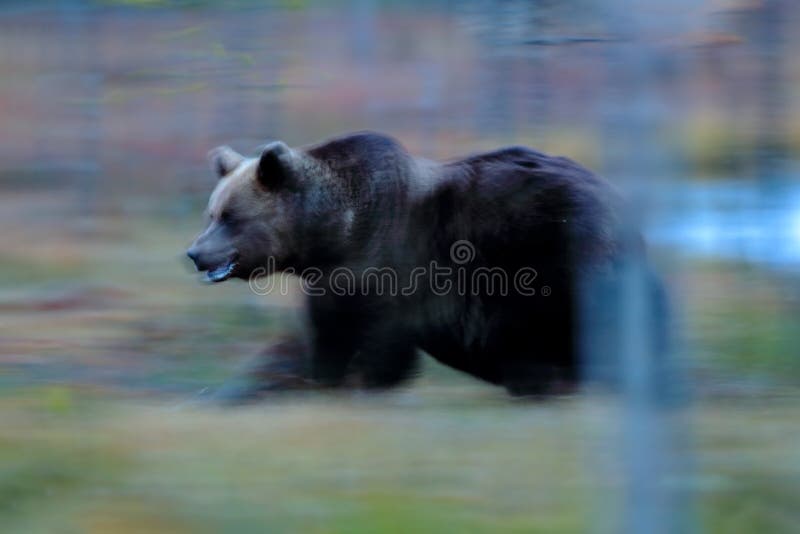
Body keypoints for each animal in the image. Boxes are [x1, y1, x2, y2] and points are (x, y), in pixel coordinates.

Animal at [188, 132, 668, 404]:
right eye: (211, 213)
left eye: (230, 216)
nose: (195, 253)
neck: (332, 231)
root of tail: (620, 205)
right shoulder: (331, 279)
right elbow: (315, 338)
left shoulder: (381, 266)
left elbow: (368, 342)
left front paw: (353, 382)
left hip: (555, 253)